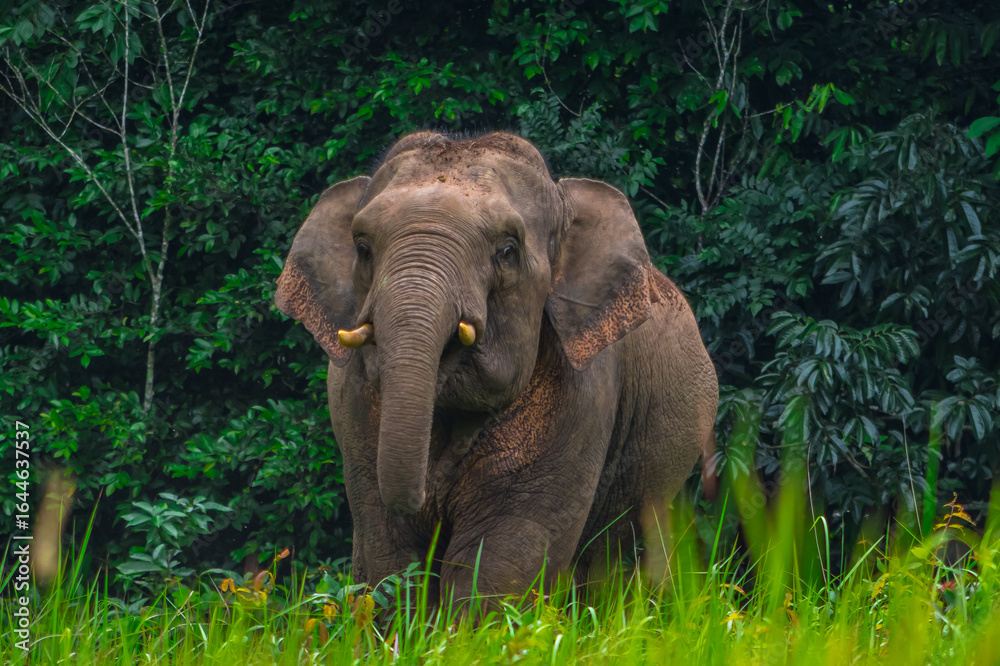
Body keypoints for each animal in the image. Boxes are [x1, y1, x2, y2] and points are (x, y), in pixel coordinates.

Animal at [274, 131, 718, 604]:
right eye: (362, 248)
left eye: (507, 251)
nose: (427, 496)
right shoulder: (353, 404)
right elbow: (387, 550)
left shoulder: (582, 397)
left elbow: (505, 552)